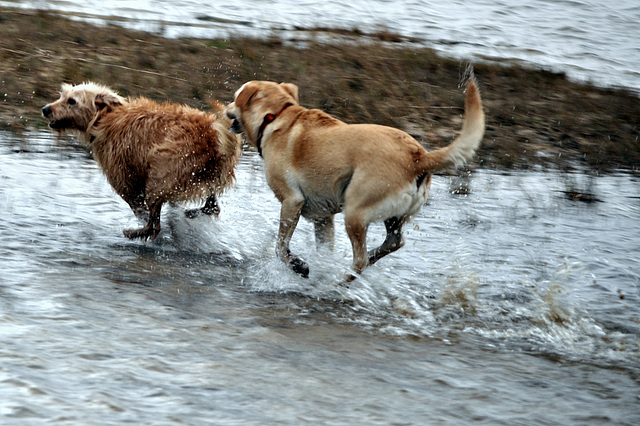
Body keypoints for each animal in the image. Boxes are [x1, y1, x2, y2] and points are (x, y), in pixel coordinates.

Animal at [43, 82, 242, 240]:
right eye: (62, 95)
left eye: (72, 101)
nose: (46, 109)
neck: (104, 119)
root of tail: (211, 139)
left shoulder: (124, 178)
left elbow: (136, 204)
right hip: (208, 174)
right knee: (212, 206)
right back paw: (190, 213)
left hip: (163, 171)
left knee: (154, 223)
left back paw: (135, 232)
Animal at [228, 77, 482, 280]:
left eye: (235, 97)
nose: (226, 108)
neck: (275, 116)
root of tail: (418, 157)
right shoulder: (323, 219)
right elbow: (323, 249)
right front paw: (315, 265)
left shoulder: (292, 202)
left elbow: (280, 247)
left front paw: (298, 265)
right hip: (393, 217)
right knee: (393, 242)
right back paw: (368, 258)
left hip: (355, 212)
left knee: (360, 260)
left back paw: (341, 280)